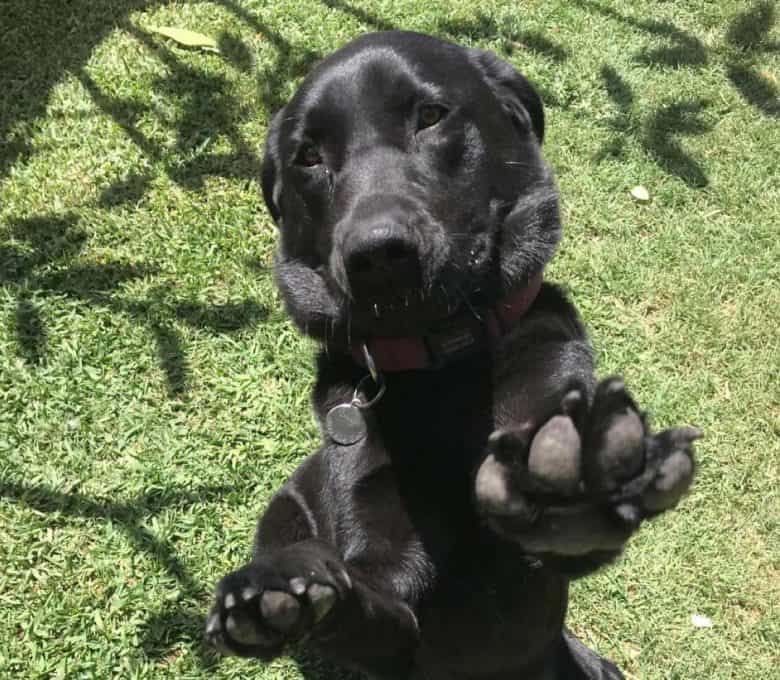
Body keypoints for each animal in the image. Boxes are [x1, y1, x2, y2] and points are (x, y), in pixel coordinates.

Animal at [204, 33, 696, 680]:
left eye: (431, 116)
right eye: (306, 156)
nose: (378, 254)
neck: (441, 367)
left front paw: (582, 462)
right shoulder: (390, 578)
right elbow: (367, 596)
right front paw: (279, 588)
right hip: (285, 506)